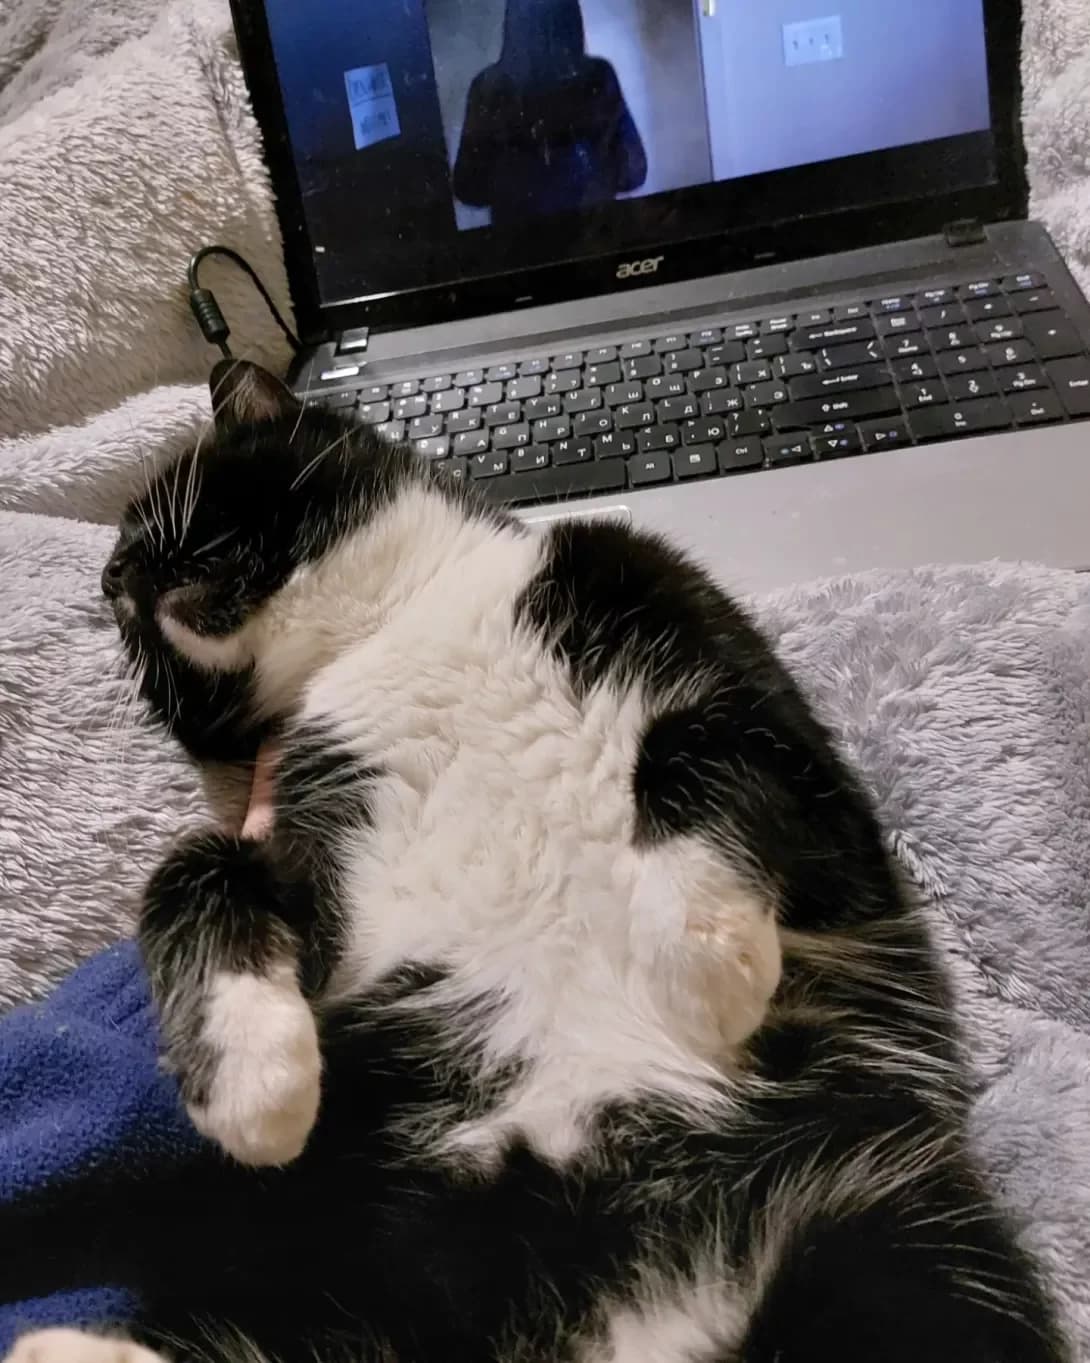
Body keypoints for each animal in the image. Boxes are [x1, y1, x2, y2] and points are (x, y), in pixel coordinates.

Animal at [8, 359, 1066, 1363]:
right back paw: (67, 1346)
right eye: (114, 588)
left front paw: (706, 961)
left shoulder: (713, 652)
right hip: (321, 1268)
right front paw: (253, 1082)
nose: (112, 579)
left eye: (158, 507)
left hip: (882, 1223)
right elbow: (194, 863)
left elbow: (694, 749)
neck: (393, 629)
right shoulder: (310, 835)